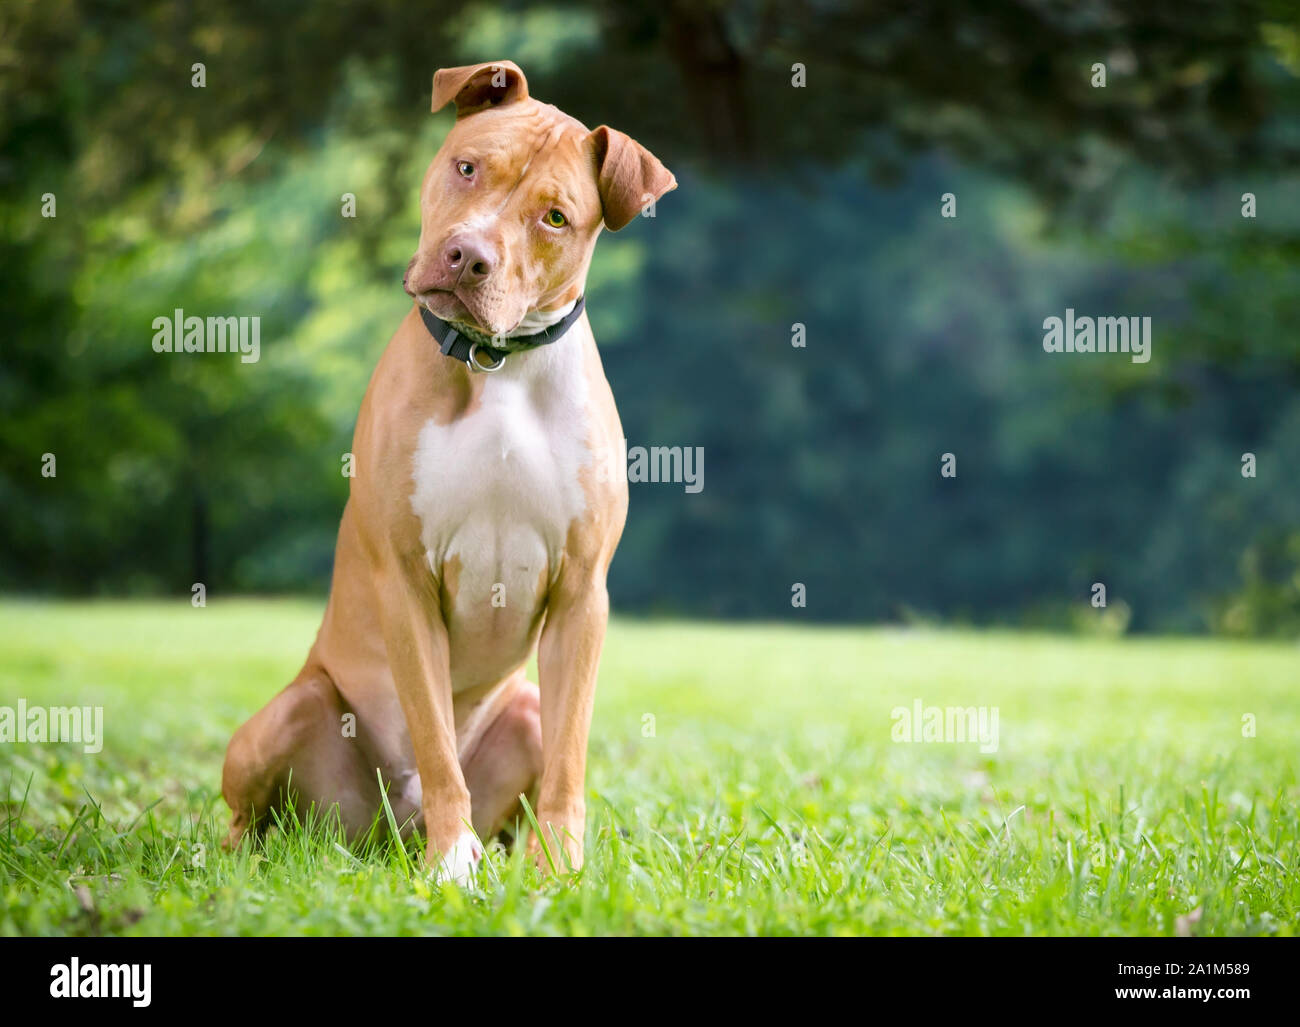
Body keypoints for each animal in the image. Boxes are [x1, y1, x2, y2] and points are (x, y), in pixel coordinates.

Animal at [220, 60, 681, 883]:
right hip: (293, 714)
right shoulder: (407, 581)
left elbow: (569, 759)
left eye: (555, 217)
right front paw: (450, 864)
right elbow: (436, 743)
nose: (468, 257)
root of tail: (383, 836)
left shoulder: (581, 593)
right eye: (468, 168)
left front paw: (559, 869)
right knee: (249, 817)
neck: (495, 363)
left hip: (523, 709)